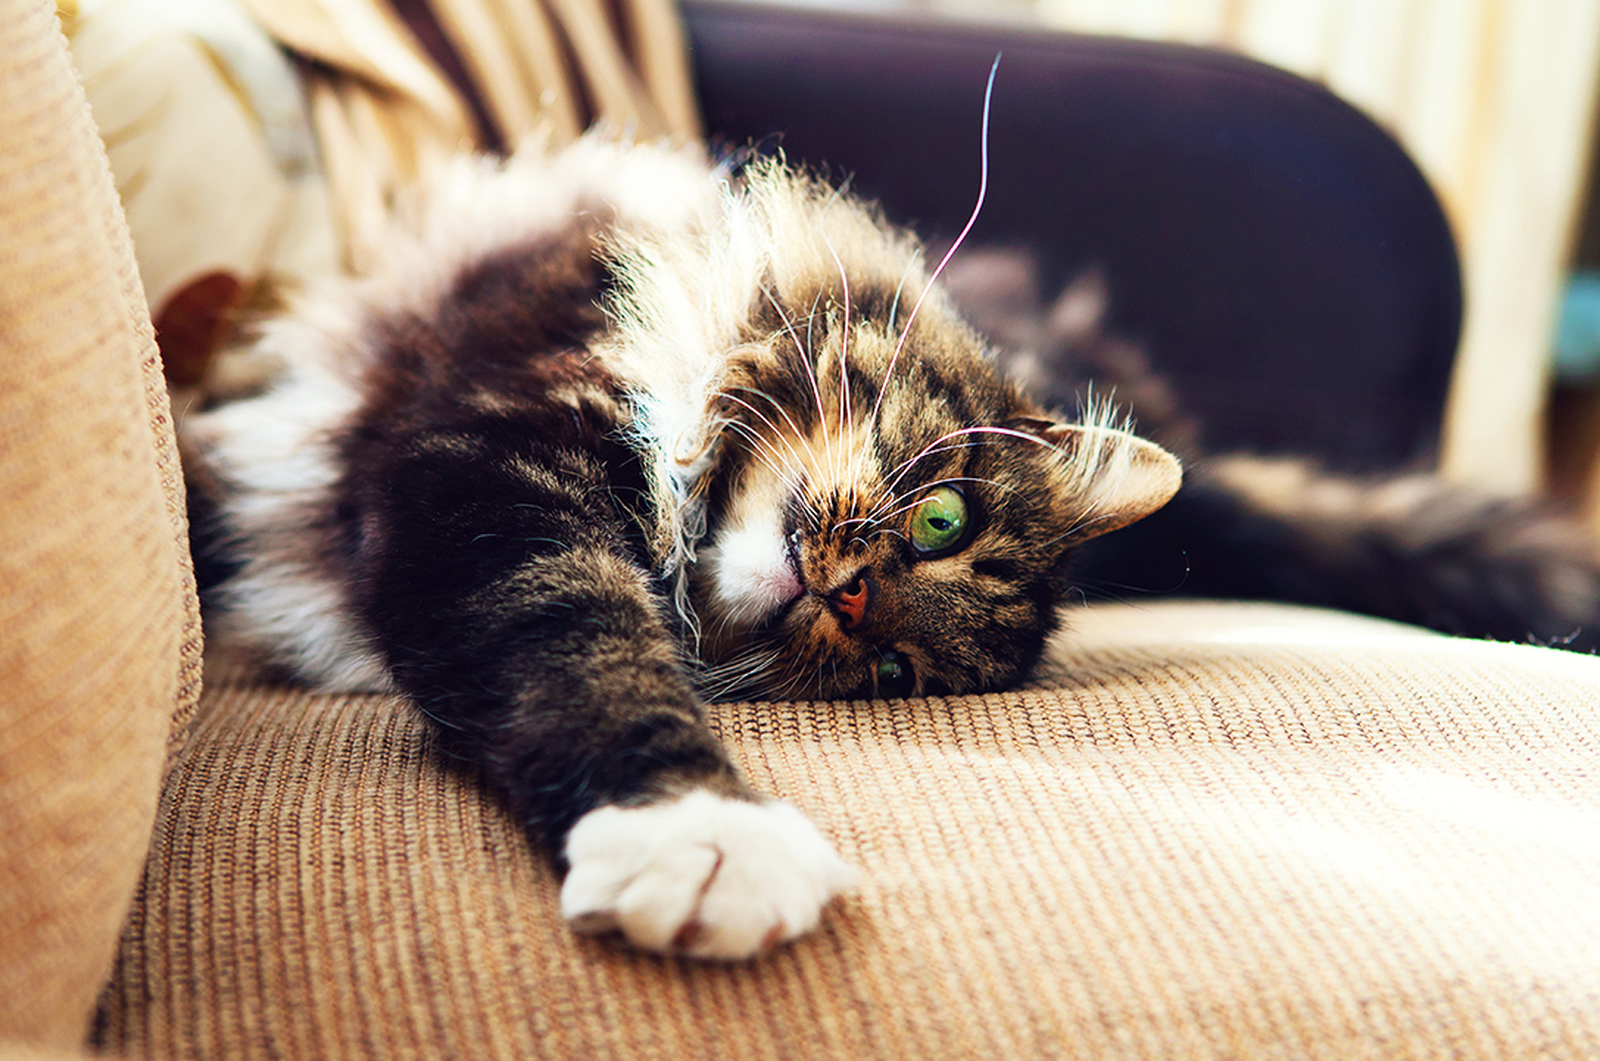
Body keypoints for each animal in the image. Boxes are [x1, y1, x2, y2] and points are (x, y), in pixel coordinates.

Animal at [187, 132, 1600, 960]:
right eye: (942, 521)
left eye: (889, 678)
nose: (853, 601)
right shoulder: (492, 463)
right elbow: (583, 648)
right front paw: (701, 834)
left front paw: (700, 837)